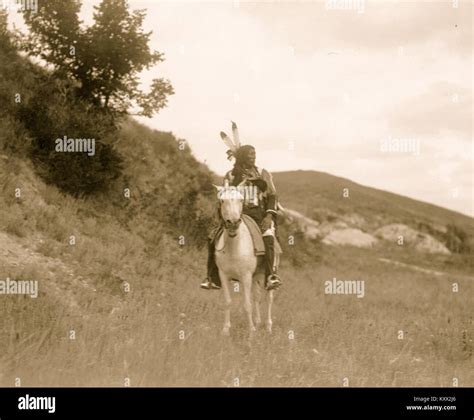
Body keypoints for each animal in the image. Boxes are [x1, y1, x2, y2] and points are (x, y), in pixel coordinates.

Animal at [214, 182, 276, 336]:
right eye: (222, 200)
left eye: (241, 200)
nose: (233, 222)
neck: (234, 247)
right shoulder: (223, 275)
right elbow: (228, 302)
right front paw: (225, 330)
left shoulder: (246, 276)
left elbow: (247, 304)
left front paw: (251, 331)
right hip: (257, 275)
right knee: (257, 297)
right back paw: (258, 322)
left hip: (267, 275)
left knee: (269, 298)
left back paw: (268, 327)